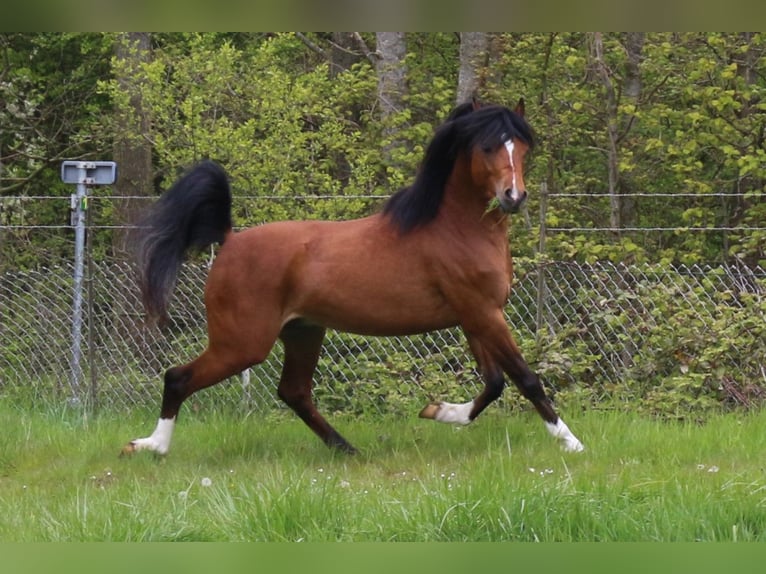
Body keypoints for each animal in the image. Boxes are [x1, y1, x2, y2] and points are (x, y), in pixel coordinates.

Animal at [123, 100, 584, 460]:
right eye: (487, 146)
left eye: (522, 146)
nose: (514, 196)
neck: (455, 228)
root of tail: (230, 239)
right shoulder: (483, 313)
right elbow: (524, 378)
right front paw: (571, 443)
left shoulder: (476, 317)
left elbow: (494, 383)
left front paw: (439, 412)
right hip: (242, 343)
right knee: (178, 377)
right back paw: (150, 446)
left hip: (303, 331)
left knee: (294, 392)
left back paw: (346, 449)